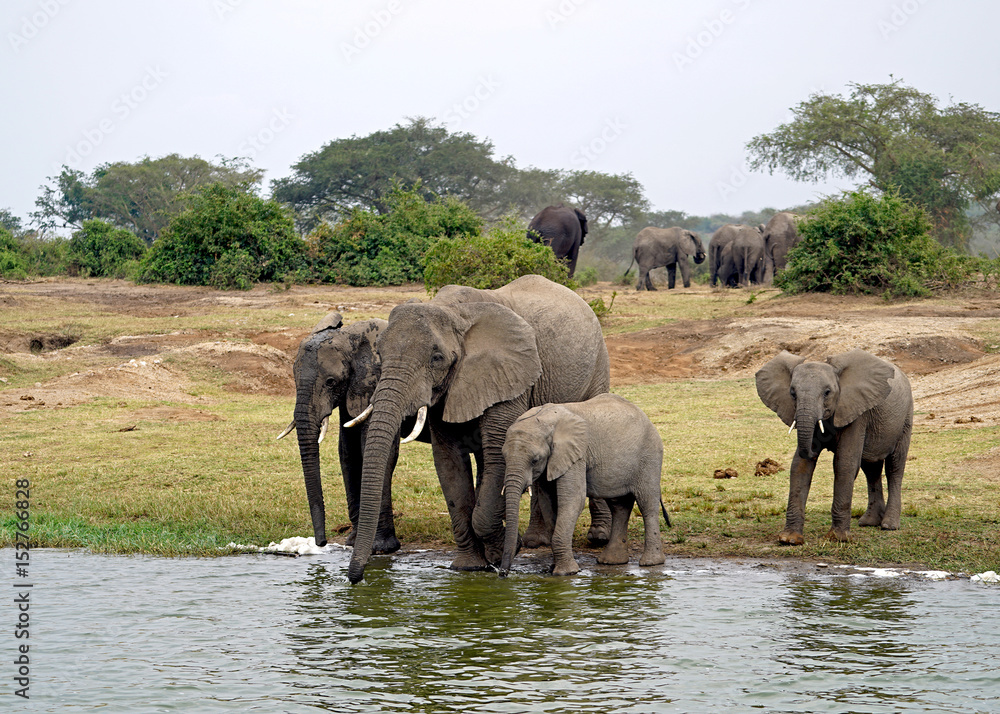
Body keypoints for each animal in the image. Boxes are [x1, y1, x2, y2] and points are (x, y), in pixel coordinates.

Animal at [277, 313, 418, 554]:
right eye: (294, 379)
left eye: (330, 382)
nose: (321, 542)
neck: (351, 337)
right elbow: (347, 451)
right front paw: (352, 542)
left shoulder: (376, 384)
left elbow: (375, 451)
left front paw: (380, 548)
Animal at [344, 274, 612, 583]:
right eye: (380, 352)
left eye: (437, 358)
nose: (356, 578)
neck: (452, 311)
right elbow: (449, 465)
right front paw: (469, 566)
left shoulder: (508, 376)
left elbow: (498, 454)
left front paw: (502, 553)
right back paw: (535, 541)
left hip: (597, 364)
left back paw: (597, 537)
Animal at [499, 393, 670, 576]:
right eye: (504, 457)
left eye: (535, 460)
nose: (502, 573)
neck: (544, 420)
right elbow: (548, 503)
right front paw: (553, 569)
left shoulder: (577, 456)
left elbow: (573, 499)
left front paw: (566, 573)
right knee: (619, 506)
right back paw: (611, 561)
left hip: (649, 456)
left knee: (647, 504)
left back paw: (651, 563)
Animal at [755, 349, 913, 545]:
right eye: (792, 393)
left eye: (827, 392)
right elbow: (800, 466)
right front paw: (789, 539)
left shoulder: (857, 413)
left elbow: (844, 464)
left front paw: (838, 538)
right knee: (871, 468)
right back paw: (869, 522)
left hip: (906, 418)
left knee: (894, 466)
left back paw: (889, 525)